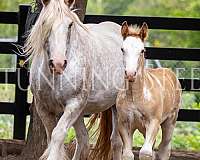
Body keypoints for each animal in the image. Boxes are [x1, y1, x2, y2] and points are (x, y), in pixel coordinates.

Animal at [24, 0, 124, 159]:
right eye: (45, 21)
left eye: (70, 24)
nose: (58, 63)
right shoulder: (43, 108)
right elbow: (51, 136)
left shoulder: (74, 104)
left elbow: (58, 134)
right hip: (83, 112)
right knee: (83, 139)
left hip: (117, 107)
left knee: (116, 142)